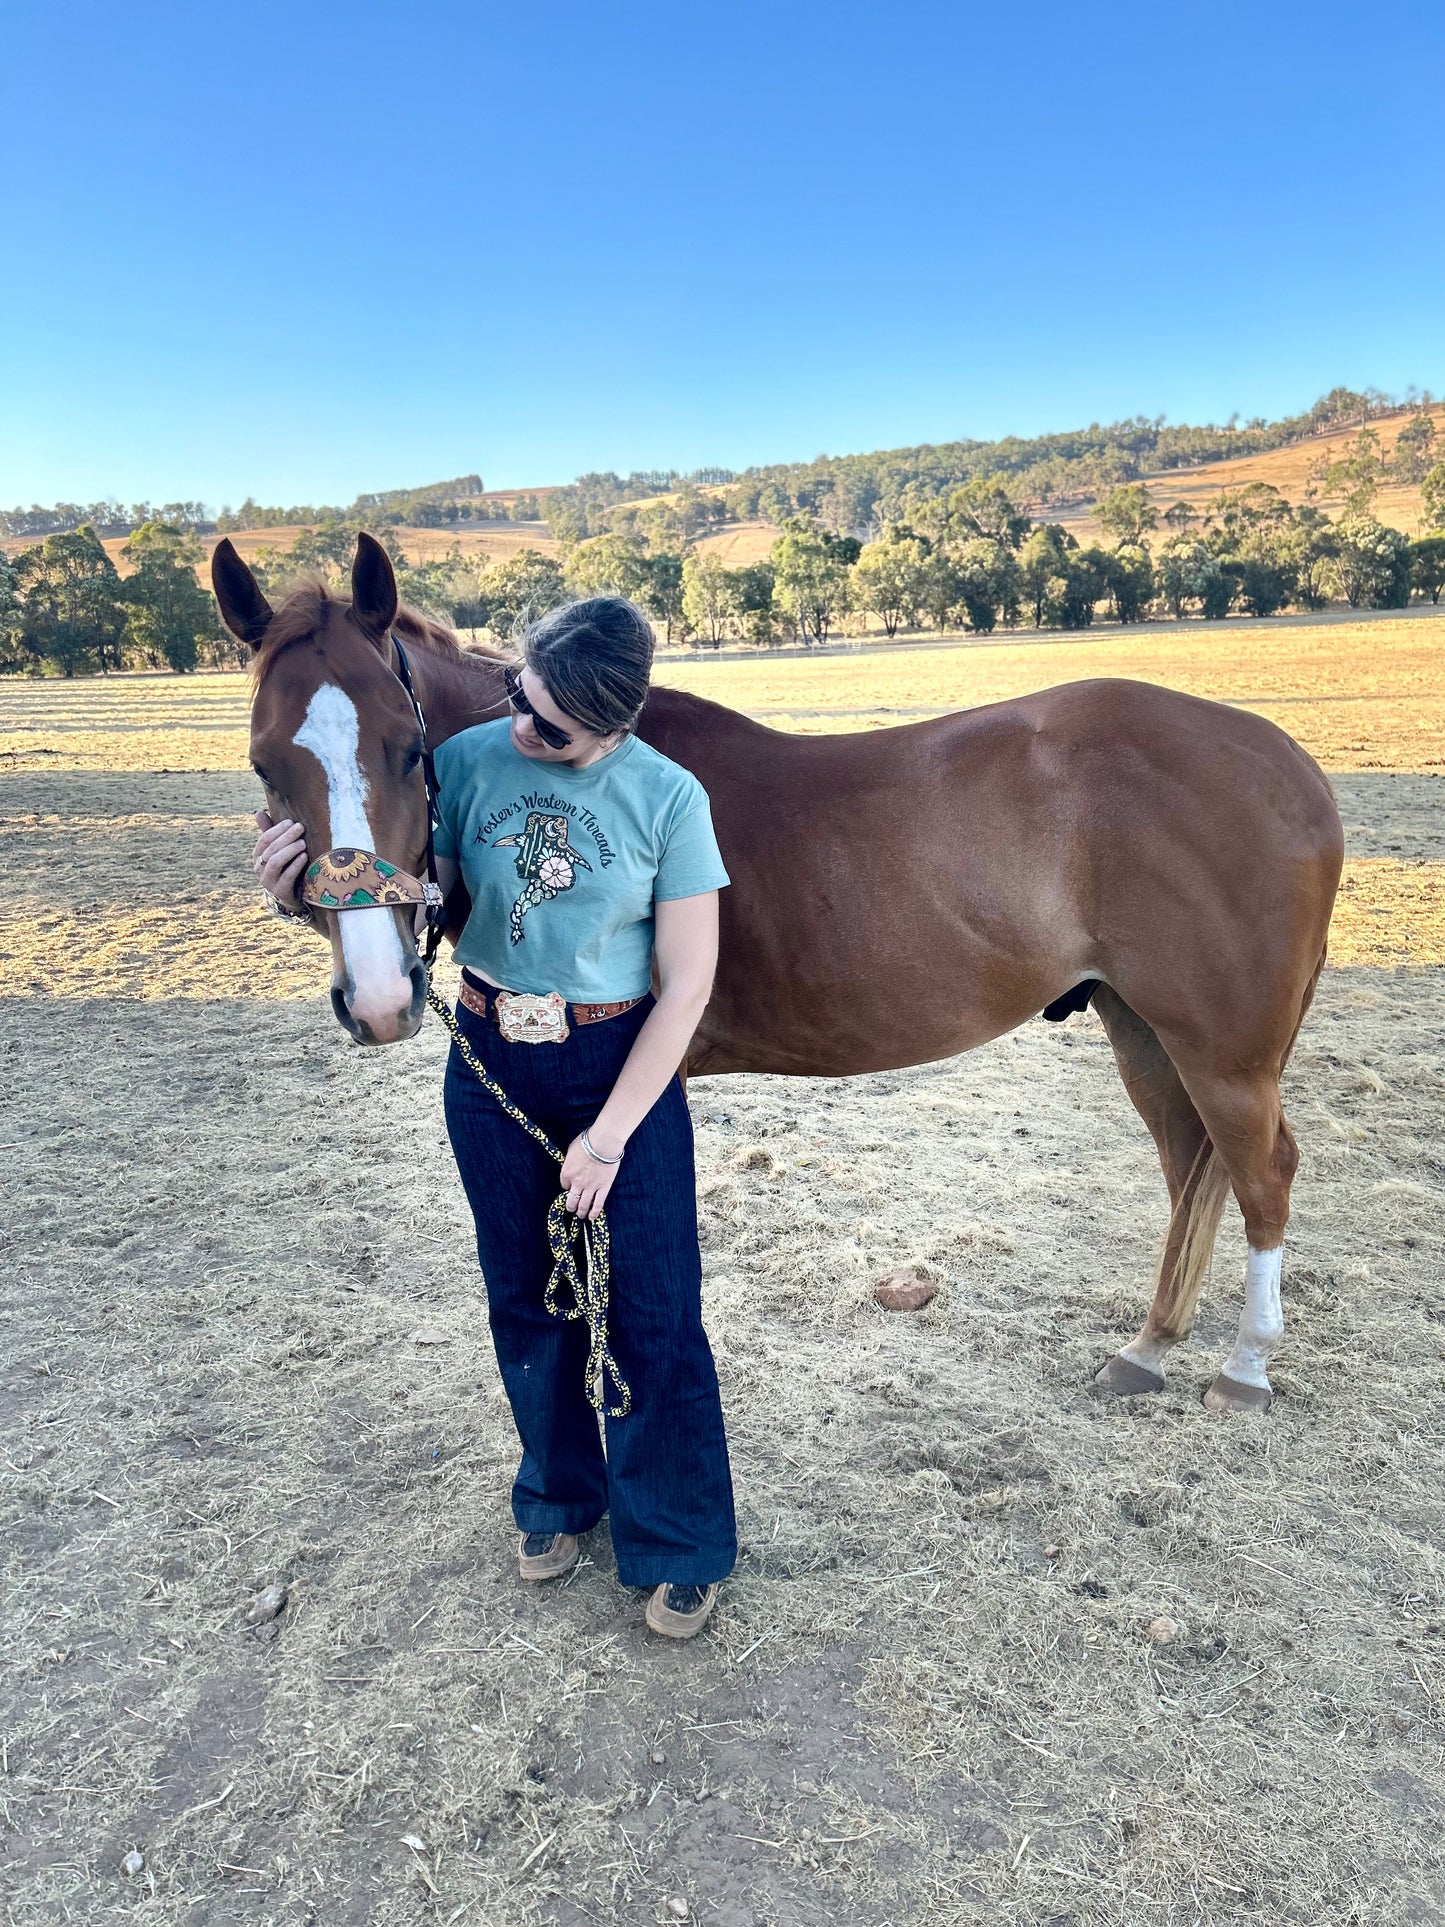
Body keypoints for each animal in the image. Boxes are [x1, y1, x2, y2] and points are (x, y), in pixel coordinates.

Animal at [214, 535, 1348, 1410]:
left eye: (408, 751)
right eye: (265, 763)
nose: (379, 1000)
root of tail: (1291, 766)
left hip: (1223, 1053)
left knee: (1262, 1175)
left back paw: (1245, 1368)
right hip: (1141, 1027)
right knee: (1190, 1166)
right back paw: (1147, 1347)